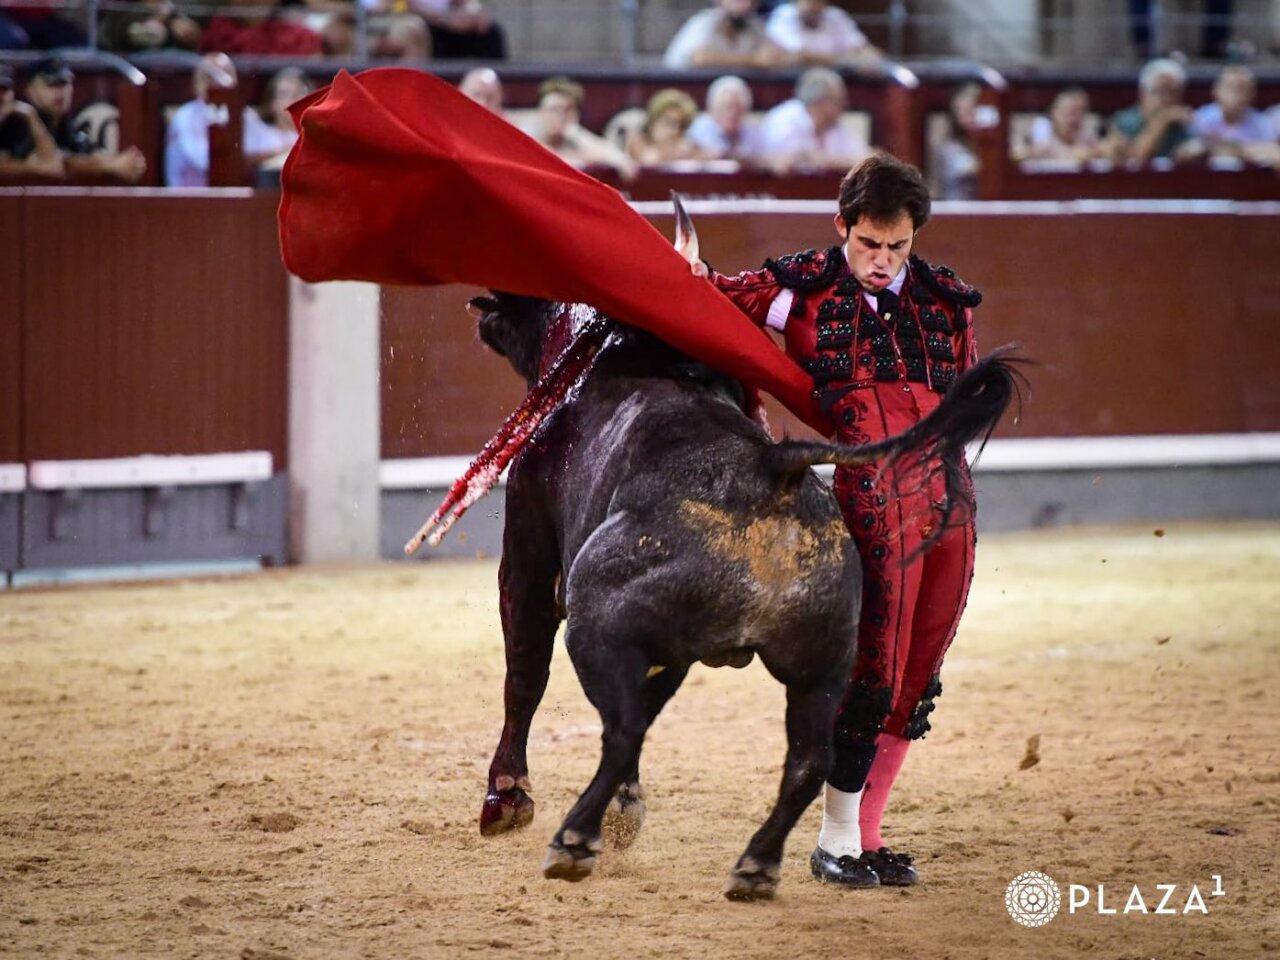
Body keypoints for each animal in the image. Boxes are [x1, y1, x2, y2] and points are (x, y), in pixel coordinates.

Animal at [469, 292, 1017, 900]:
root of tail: (772, 466)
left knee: (623, 728)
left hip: (596, 620)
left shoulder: (527, 550)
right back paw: (756, 866)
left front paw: (507, 798)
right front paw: (622, 811)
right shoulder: (670, 651)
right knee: (811, 758)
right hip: (824, 659)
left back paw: (575, 841)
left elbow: (525, 675)